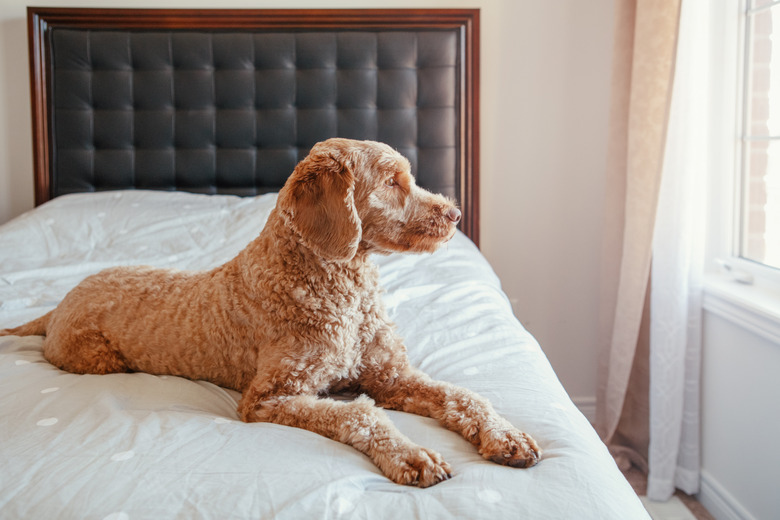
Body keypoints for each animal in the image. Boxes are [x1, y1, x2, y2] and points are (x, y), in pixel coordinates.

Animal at [0, 138, 540, 488]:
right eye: (392, 181)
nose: (455, 214)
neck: (334, 283)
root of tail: (56, 307)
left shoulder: (390, 376)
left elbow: (464, 396)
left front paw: (505, 434)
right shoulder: (269, 398)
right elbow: (361, 415)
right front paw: (409, 453)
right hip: (95, 357)